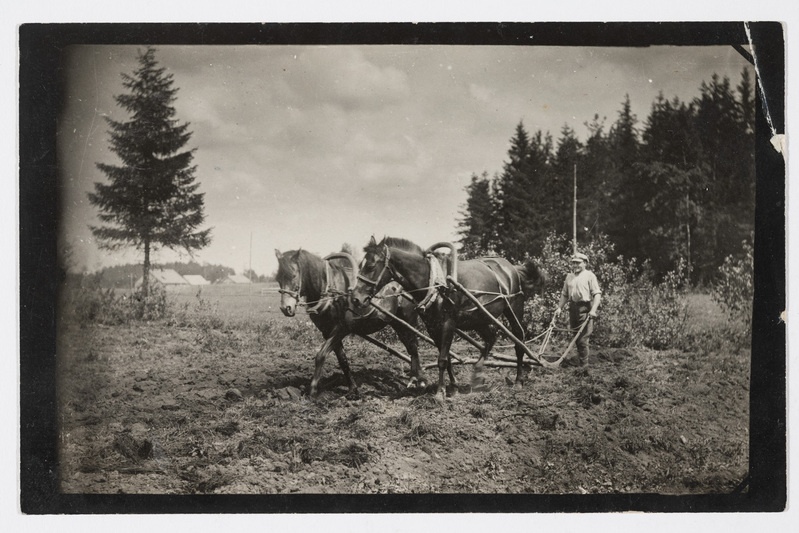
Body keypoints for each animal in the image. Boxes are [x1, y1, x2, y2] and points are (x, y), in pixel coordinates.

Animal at [274, 248, 424, 394]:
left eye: (293, 275)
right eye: (278, 278)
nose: (285, 308)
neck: (330, 291)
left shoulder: (342, 328)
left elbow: (320, 355)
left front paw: (313, 390)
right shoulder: (326, 332)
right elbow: (342, 360)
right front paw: (353, 389)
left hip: (407, 321)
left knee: (413, 348)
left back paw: (417, 380)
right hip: (396, 323)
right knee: (411, 348)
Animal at [354, 236, 548, 400]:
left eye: (371, 266)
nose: (356, 298)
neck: (434, 280)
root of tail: (512, 267)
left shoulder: (449, 323)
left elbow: (441, 359)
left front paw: (440, 393)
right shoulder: (432, 326)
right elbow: (445, 358)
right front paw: (453, 387)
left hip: (514, 309)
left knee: (519, 340)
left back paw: (518, 380)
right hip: (478, 318)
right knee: (490, 338)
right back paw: (477, 375)